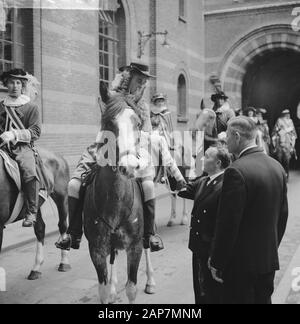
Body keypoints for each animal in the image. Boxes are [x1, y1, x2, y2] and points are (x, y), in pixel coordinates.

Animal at [0, 148, 70, 280]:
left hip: (61, 196)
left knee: (63, 225)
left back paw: (64, 262)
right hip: (36, 206)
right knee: (40, 229)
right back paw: (36, 268)